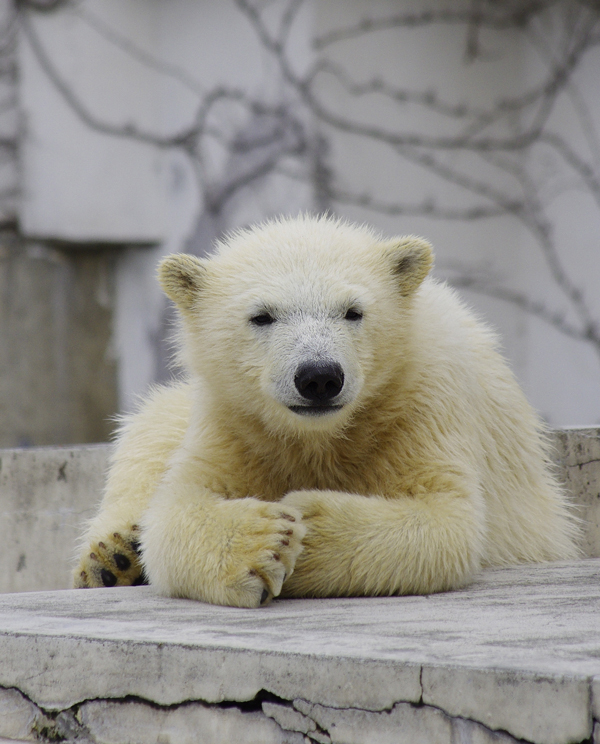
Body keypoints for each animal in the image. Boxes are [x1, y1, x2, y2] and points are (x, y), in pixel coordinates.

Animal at [72, 214, 580, 604]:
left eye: (353, 311)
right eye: (262, 316)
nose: (318, 376)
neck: (324, 435)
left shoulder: (422, 408)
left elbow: (444, 518)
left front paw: (305, 519)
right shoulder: (235, 422)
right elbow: (176, 510)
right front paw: (266, 542)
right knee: (147, 436)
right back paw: (113, 558)